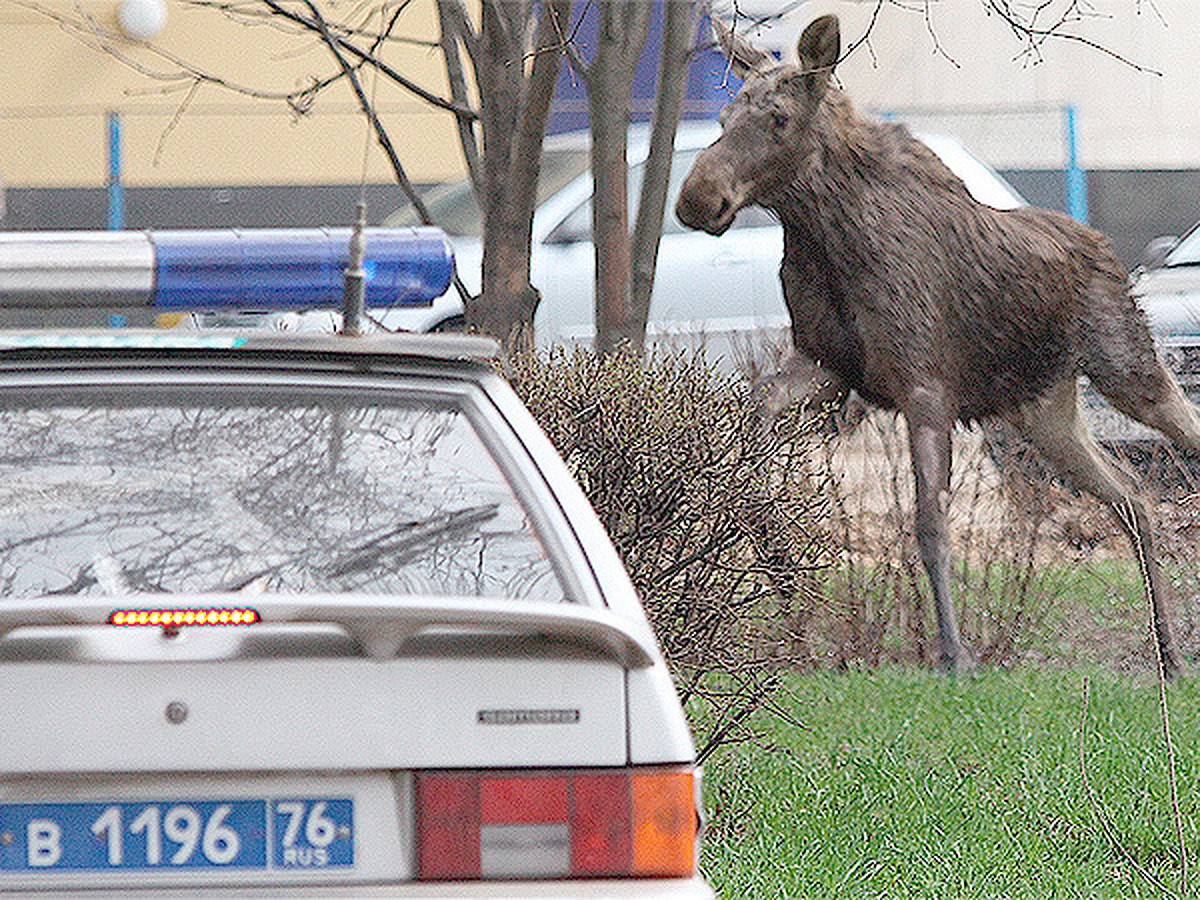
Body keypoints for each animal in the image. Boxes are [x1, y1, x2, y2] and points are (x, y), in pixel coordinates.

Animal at [681, 15, 1200, 676]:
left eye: (778, 117)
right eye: (724, 118)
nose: (697, 199)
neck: (822, 240)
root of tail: (1109, 247)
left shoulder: (924, 387)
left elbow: (929, 522)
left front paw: (954, 654)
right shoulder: (824, 364)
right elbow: (750, 416)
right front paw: (765, 539)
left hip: (1128, 367)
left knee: (1181, 438)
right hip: (1043, 414)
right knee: (1132, 496)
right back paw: (1169, 654)